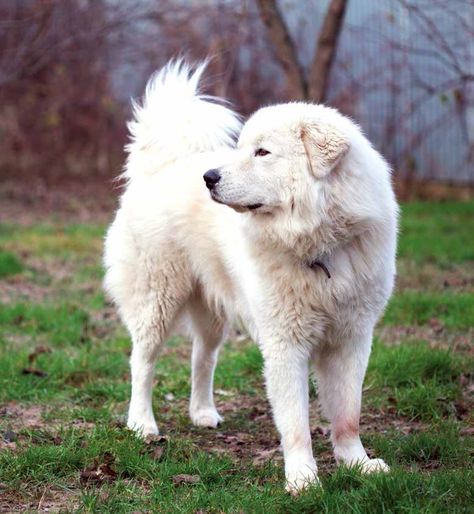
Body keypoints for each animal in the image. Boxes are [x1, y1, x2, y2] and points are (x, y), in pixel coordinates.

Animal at [104, 60, 400, 492]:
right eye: (243, 148)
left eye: (262, 152)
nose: (209, 178)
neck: (319, 246)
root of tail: (163, 165)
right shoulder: (285, 344)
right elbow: (296, 422)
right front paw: (303, 479)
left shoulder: (352, 339)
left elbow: (348, 413)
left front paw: (356, 463)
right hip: (158, 297)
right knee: (142, 362)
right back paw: (141, 423)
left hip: (212, 313)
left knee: (202, 357)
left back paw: (203, 413)